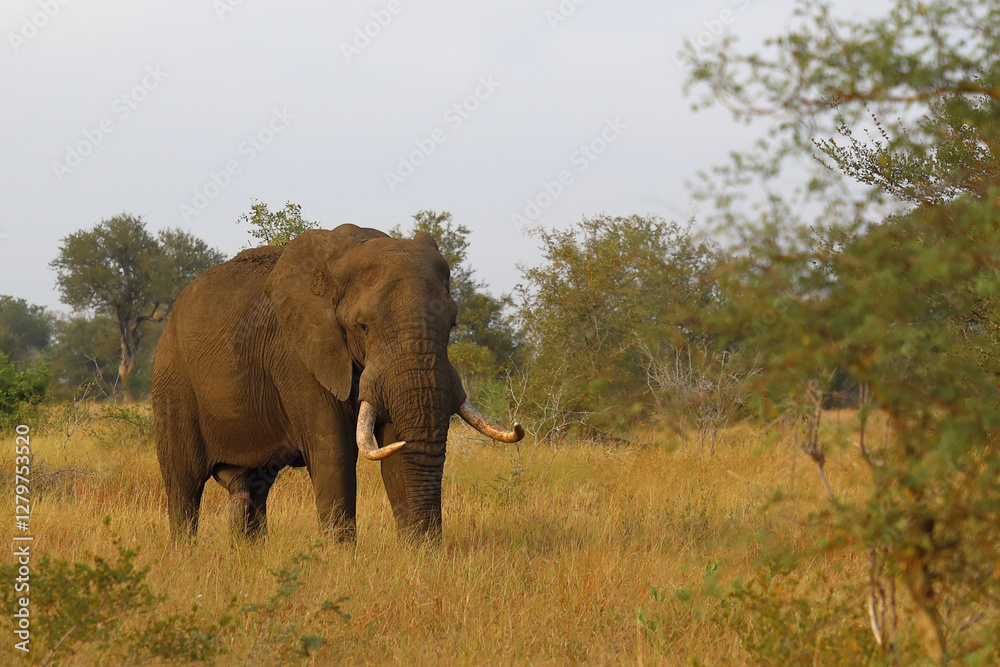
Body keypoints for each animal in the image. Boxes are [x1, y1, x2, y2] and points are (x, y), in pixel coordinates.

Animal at [152, 224, 523, 542]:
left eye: (453, 323)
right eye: (362, 326)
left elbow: (394, 447)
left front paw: (419, 558)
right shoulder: (297, 353)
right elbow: (333, 450)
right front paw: (342, 559)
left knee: (250, 487)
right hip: (172, 380)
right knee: (183, 486)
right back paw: (185, 556)